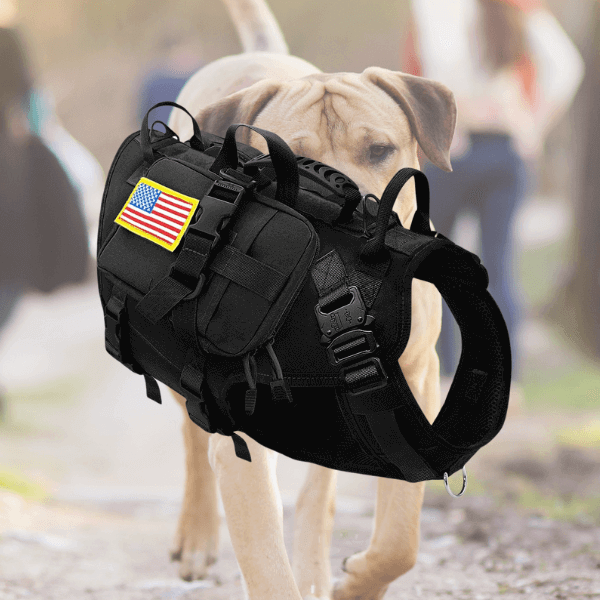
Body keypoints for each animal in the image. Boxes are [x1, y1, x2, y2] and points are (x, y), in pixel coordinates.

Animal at [166, 2, 458, 596]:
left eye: (379, 151)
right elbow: (265, 559)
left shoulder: (415, 376)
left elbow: (400, 538)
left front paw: (357, 580)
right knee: (190, 440)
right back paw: (198, 534)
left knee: (320, 490)